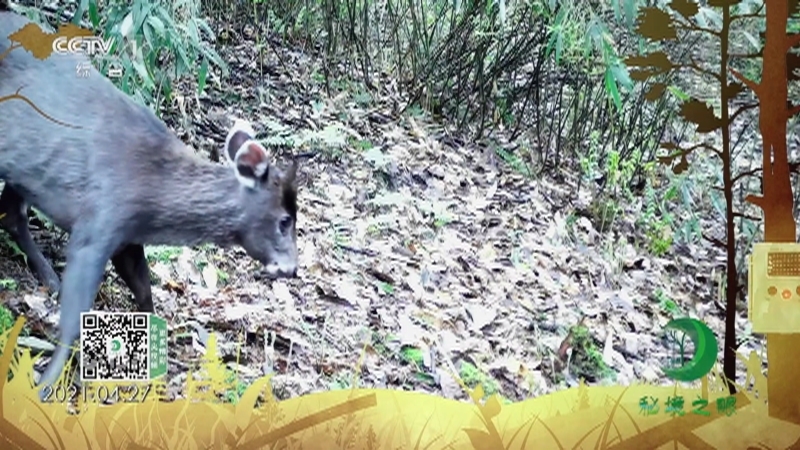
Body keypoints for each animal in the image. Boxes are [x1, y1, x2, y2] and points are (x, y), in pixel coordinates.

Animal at [0, 9, 300, 400]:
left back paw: (49, 277)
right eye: (284, 220)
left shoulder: (126, 239)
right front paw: (43, 388)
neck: (152, 197)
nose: (292, 268)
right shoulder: (97, 223)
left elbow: (144, 291)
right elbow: (75, 317)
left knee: (11, 212)